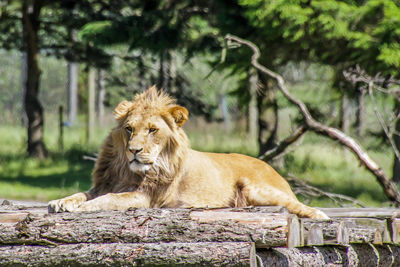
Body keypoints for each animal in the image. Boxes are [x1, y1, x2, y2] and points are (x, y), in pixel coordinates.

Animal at [48, 86, 328, 220]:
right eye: (129, 129)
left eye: (152, 130)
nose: (134, 150)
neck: (128, 170)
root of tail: (271, 167)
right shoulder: (106, 183)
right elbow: (82, 193)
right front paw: (61, 202)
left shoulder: (146, 197)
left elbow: (108, 200)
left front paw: (82, 208)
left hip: (255, 189)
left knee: (298, 204)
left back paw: (320, 215)